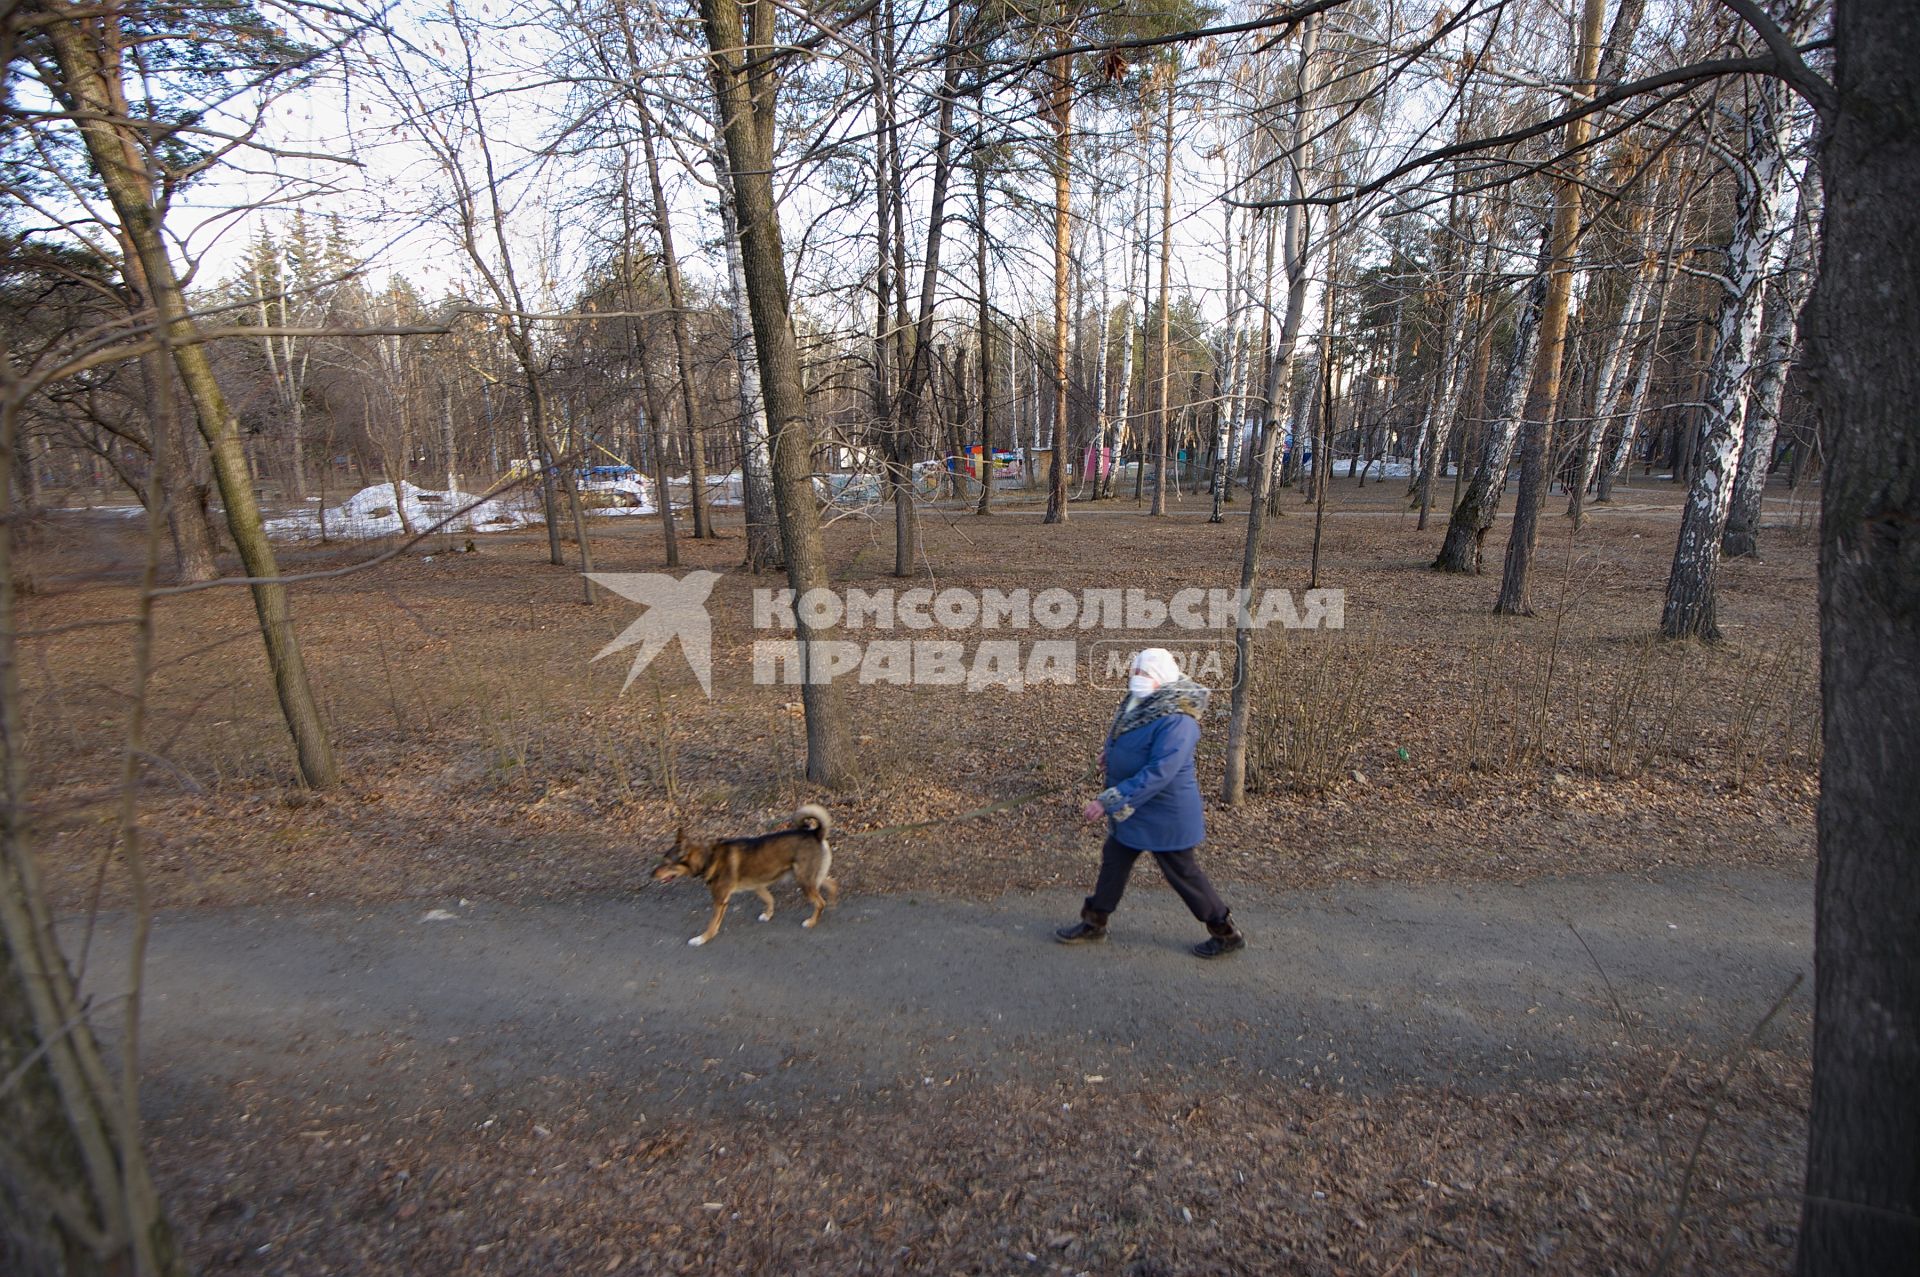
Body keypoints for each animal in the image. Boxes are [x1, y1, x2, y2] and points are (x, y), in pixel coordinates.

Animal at [648, 802, 837, 940]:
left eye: (666, 863)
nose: (651, 874)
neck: (709, 857)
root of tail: (815, 833)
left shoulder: (720, 901)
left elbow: (712, 924)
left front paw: (702, 938)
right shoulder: (758, 886)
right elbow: (770, 900)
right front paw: (767, 915)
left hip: (804, 881)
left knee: (820, 902)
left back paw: (812, 921)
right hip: (810, 878)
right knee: (832, 884)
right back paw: (833, 903)